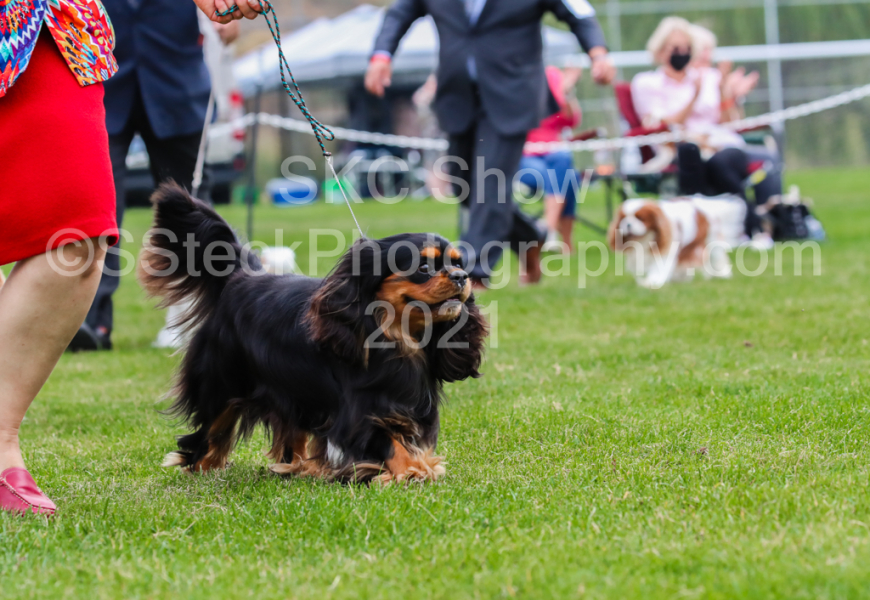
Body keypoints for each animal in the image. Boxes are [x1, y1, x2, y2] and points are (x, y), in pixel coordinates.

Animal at [138, 184, 487, 483]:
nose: (461, 276)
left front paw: (419, 464)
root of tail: (241, 277)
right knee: (208, 430)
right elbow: (386, 440)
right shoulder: (357, 413)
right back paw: (202, 465)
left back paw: (296, 467)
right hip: (223, 382)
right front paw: (411, 469)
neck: (397, 335)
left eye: (460, 264)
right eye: (424, 268)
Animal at [608, 197, 744, 289]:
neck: (646, 239)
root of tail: (703, 202)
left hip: (711, 242)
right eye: (623, 218)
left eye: (640, 218)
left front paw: (652, 281)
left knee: (717, 257)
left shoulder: (666, 250)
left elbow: (659, 267)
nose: (628, 224)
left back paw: (723, 275)